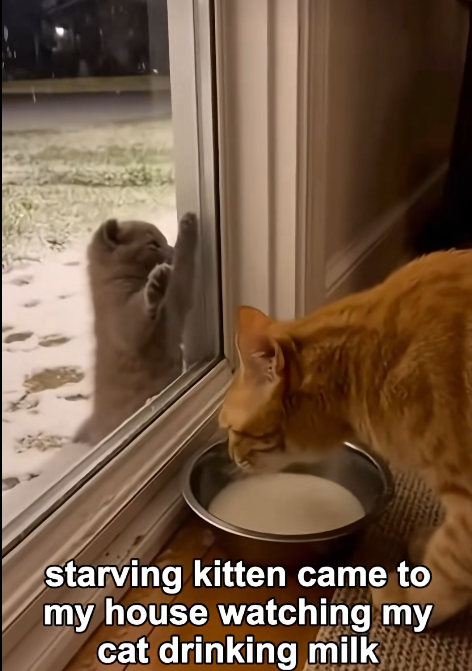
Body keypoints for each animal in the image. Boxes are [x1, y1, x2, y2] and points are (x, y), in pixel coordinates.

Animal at [74, 212, 198, 446]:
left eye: (163, 241)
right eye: (152, 244)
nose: (169, 250)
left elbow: (182, 271)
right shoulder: (125, 321)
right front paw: (157, 281)